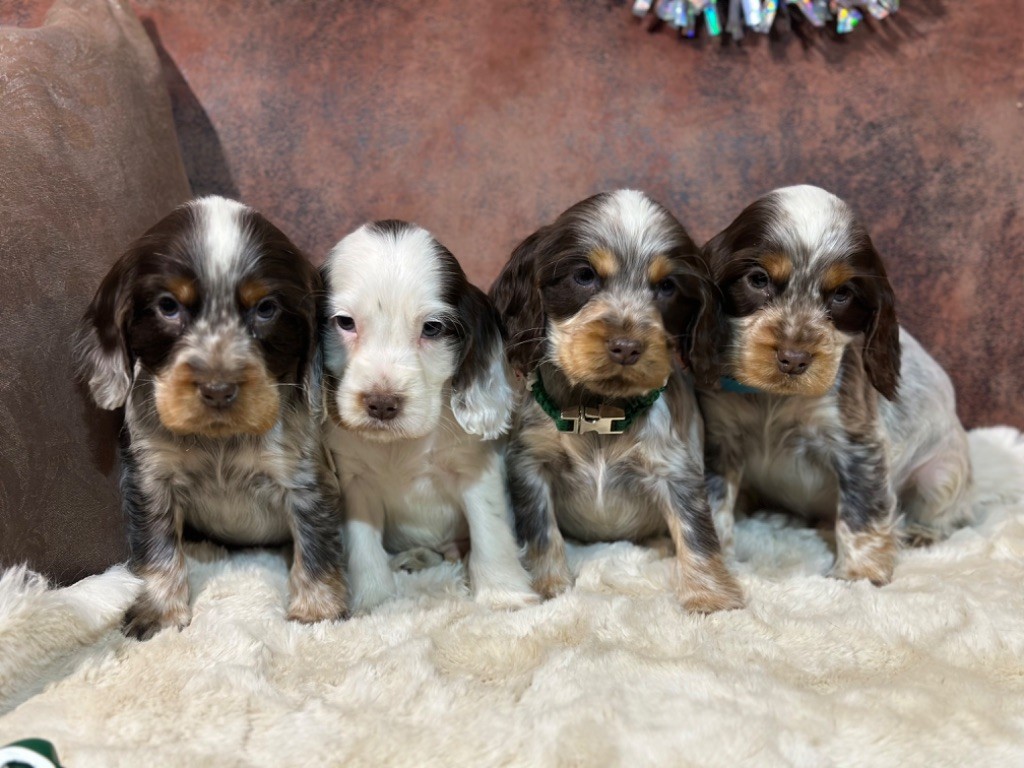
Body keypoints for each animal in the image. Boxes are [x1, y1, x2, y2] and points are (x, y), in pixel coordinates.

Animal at [74, 195, 348, 638]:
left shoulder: (307, 479)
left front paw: (317, 611)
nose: (218, 389)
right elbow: (158, 547)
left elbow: (315, 544)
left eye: (266, 309)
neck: (220, 440)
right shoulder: (151, 479)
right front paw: (159, 610)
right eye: (168, 306)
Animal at [321, 218, 540, 614]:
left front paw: (504, 593)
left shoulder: (477, 470)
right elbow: (362, 545)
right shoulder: (354, 481)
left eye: (433, 328)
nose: (381, 403)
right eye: (344, 322)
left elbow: (491, 532)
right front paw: (372, 600)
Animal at [489, 188, 745, 614]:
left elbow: (696, 532)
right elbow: (540, 529)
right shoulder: (529, 463)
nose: (626, 347)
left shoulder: (676, 469)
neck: (599, 410)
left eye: (667, 287)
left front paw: (711, 596)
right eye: (584, 276)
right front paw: (548, 585)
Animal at [700, 185, 970, 581]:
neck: (771, 399)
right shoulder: (720, 438)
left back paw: (923, 533)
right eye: (758, 280)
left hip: (940, 475)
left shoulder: (857, 445)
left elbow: (862, 514)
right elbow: (715, 504)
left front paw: (859, 575)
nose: (794, 358)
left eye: (842, 294)